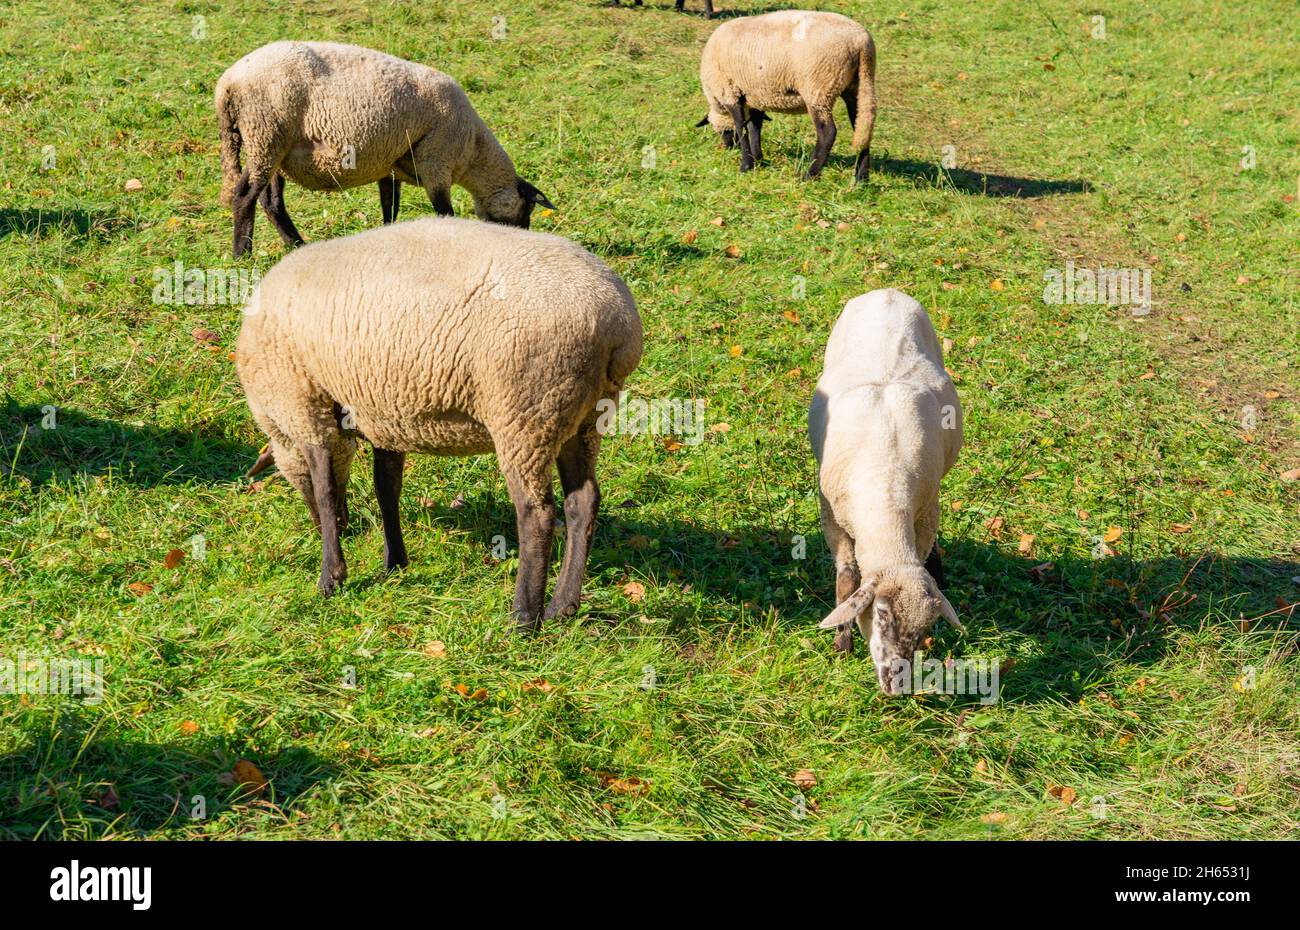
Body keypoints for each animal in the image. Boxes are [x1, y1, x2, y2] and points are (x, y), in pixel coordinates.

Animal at [216, 41, 555, 258]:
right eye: (527, 210)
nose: (521, 237)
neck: (473, 151)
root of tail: (227, 85)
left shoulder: (390, 169)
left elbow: (390, 210)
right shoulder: (436, 164)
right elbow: (444, 212)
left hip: (272, 147)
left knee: (271, 201)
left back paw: (296, 244)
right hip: (266, 133)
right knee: (245, 196)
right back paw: (242, 255)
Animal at [236, 216, 643, 630]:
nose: (337, 526)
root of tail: (616, 324)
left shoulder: (304, 406)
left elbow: (325, 489)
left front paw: (331, 576)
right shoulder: (383, 413)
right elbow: (386, 488)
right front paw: (393, 563)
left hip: (525, 413)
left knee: (537, 515)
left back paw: (524, 617)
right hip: (580, 416)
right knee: (582, 502)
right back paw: (563, 606)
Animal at [695, 10, 876, 181]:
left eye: (721, 132)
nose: (730, 147)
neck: (717, 101)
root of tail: (860, 42)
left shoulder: (730, 91)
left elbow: (741, 127)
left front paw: (746, 164)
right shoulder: (755, 97)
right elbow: (755, 127)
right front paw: (758, 160)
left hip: (819, 88)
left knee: (828, 133)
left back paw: (809, 175)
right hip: (858, 84)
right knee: (862, 127)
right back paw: (861, 179)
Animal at [807, 289, 964, 694]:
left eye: (925, 627)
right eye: (879, 614)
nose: (897, 685)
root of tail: (887, 292)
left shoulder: (927, 509)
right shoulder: (831, 516)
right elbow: (847, 579)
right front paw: (842, 642)